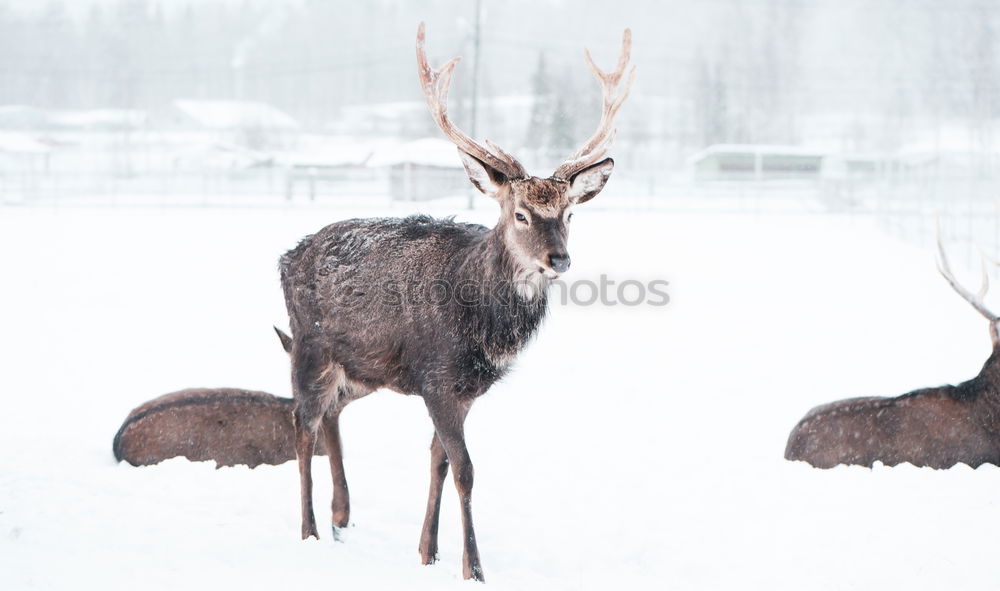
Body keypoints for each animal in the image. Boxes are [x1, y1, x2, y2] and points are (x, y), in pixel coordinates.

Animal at [276, 24, 632, 584]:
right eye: (521, 213)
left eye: (570, 213)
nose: (560, 258)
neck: (484, 330)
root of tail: (286, 256)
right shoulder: (438, 380)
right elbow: (464, 468)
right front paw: (474, 568)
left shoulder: (463, 391)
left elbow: (438, 461)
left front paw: (428, 551)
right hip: (309, 348)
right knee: (301, 424)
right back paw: (310, 530)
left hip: (360, 369)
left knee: (330, 416)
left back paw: (340, 517)